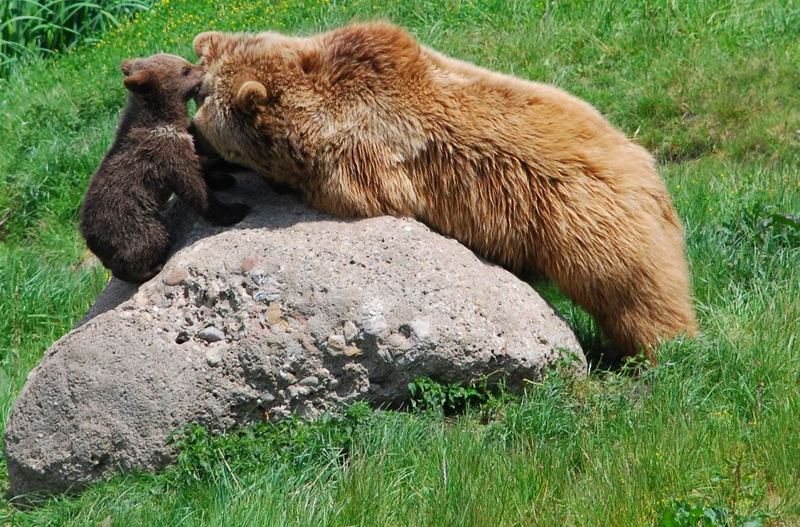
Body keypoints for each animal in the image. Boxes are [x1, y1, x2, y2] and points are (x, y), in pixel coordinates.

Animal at [191, 22, 696, 360]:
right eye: (199, 90)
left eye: (203, 103)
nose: (193, 134)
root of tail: (646, 167)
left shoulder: (365, 162)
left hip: (591, 227)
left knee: (636, 293)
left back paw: (665, 350)